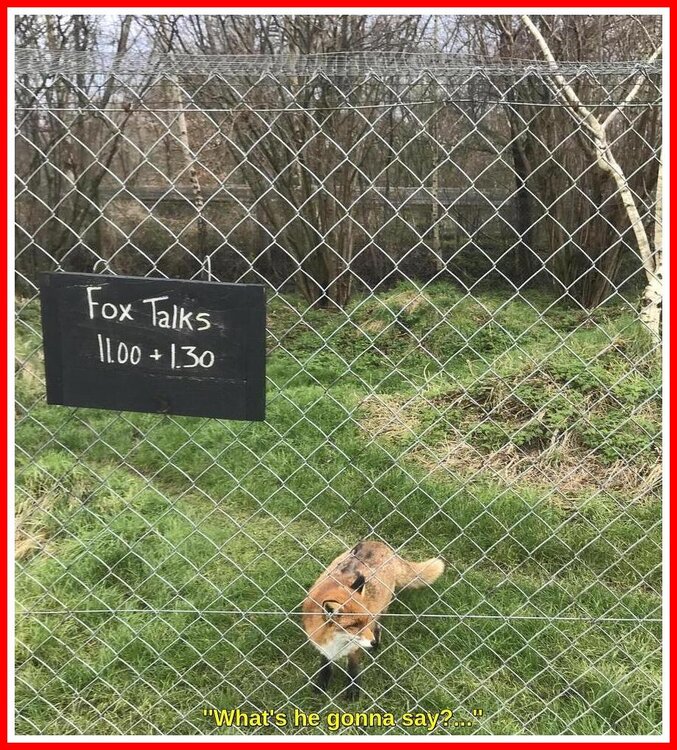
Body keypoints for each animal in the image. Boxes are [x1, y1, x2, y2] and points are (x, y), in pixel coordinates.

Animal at [301, 540, 445, 699]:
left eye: (366, 621)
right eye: (355, 625)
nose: (373, 642)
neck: (336, 641)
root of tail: (378, 542)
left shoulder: (356, 648)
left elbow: (353, 668)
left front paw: (353, 691)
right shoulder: (322, 644)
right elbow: (325, 665)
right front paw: (321, 684)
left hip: (382, 608)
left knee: (378, 626)